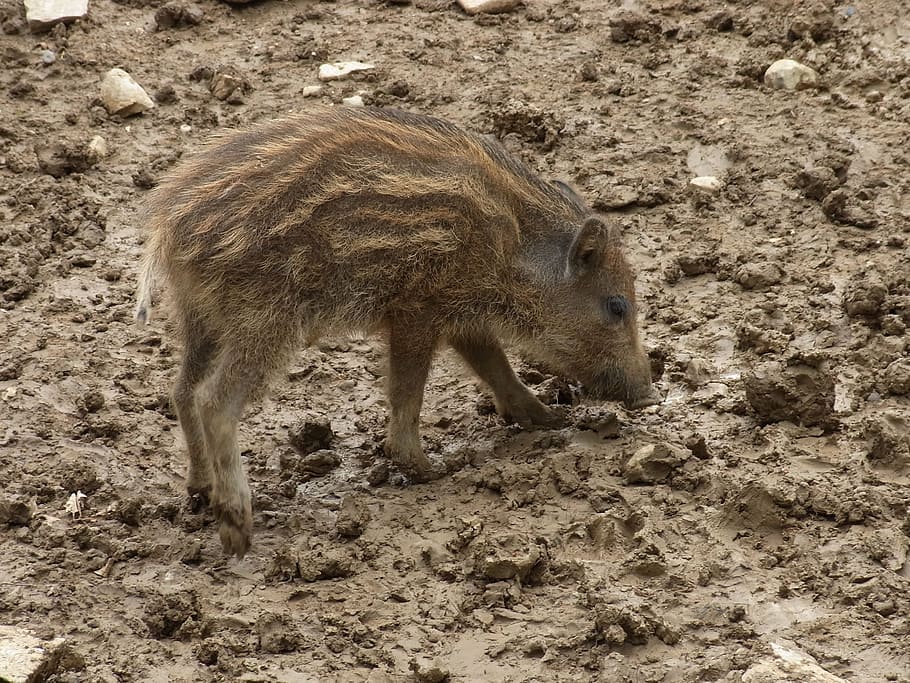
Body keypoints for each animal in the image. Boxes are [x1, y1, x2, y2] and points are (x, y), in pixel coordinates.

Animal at [135, 106, 656, 558]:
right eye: (617, 305)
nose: (648, 393)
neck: (513, 245)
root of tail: (168, 229)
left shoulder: (460, 312)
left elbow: (494, 364)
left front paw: (546, 417)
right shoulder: (417, 308)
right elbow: (409, 390)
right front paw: (428, 468)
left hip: (201, 319)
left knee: (181, 391)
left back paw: (199, 491)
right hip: (264, 319)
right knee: (214, 400)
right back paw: (237, 529)